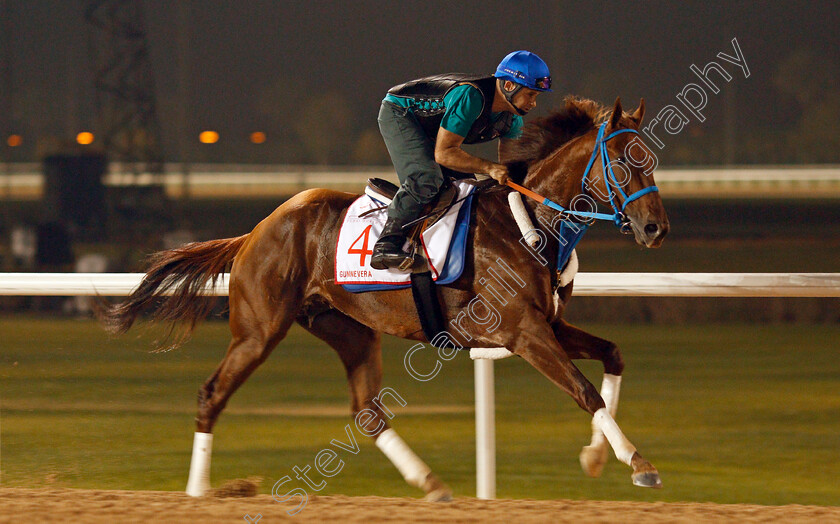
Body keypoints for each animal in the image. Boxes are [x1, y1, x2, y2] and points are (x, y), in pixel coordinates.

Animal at [97, 94, 668, 500]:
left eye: (652, 160)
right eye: (622, 161)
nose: (655, 228)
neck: (531, 222)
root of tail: (256, 230)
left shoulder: (548, 324)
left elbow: (613, 355)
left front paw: (596, 457)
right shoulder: (521, 331)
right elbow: (585, 391)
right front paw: (639, 464)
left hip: (346, 327)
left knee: (367, 412)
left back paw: (432, 484)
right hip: (259, 330)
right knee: (212, 393)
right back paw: (195, 492)